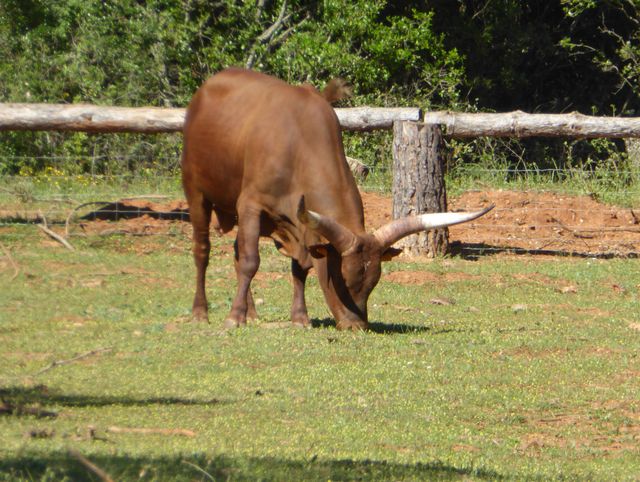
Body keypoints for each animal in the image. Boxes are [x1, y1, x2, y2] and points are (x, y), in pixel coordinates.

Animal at [182, 68, 492, 332]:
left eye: (373, 283)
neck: (297, 143)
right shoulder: (250, 204)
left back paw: (252, 313)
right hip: (196, 193)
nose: (357, 326)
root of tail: (207, 87)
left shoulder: (303, 227)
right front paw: (233, 318)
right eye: (340, 278)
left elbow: (299, 268)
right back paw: (201, 313)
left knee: (236, 251)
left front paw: (300, 318)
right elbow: (250, 261)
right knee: (203, 250)